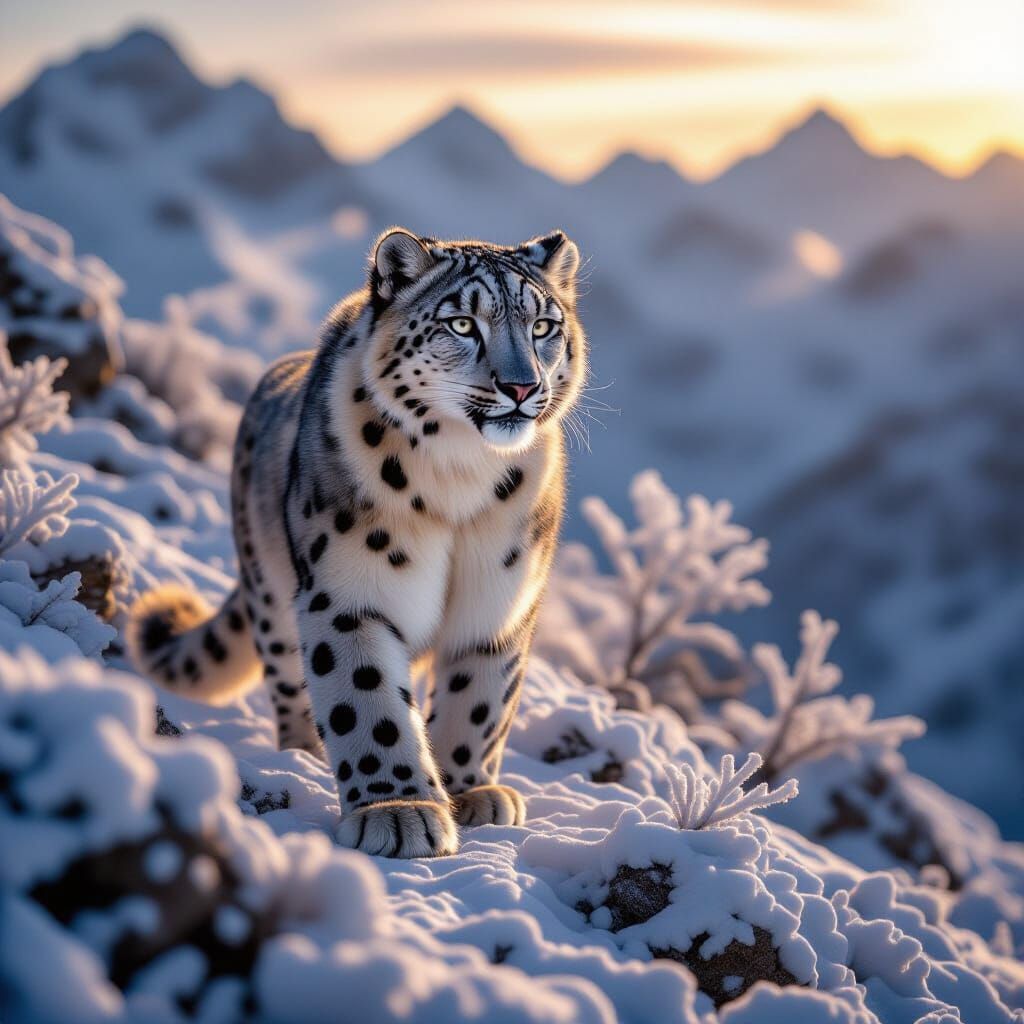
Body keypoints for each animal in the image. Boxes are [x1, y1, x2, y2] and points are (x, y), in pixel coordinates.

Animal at [127, 227, 585, 858]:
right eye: (462, 324)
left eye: (543, 326)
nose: (522, 385)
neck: (462, 475)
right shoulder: (350, 593)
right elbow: (367, 700)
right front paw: (400, 812)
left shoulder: (500, 602)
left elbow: (479, 698)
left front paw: (468, 791)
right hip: (271, 592)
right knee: (291, 681)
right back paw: (302, 757)